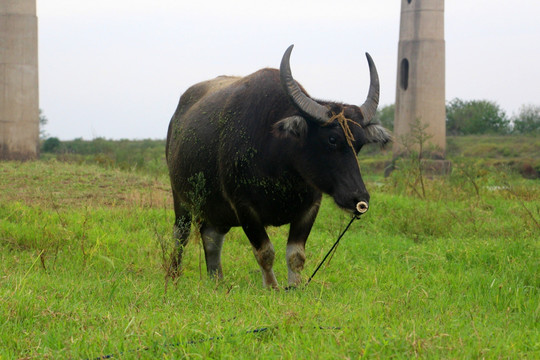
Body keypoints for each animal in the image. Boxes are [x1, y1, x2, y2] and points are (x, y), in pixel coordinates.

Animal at [167, 45, 390, 288]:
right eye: (331, 139)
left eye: (359, 144)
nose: (359, 199)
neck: (279, 165)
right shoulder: (244, 207)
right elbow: (265, 252)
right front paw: (272, 286)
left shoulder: (310, 207)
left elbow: (296, 255)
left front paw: (294, 286)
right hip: (180, 199)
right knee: (181, 236)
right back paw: (173, 275)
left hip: (216, 212)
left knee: (211, 237)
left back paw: (216, 280)